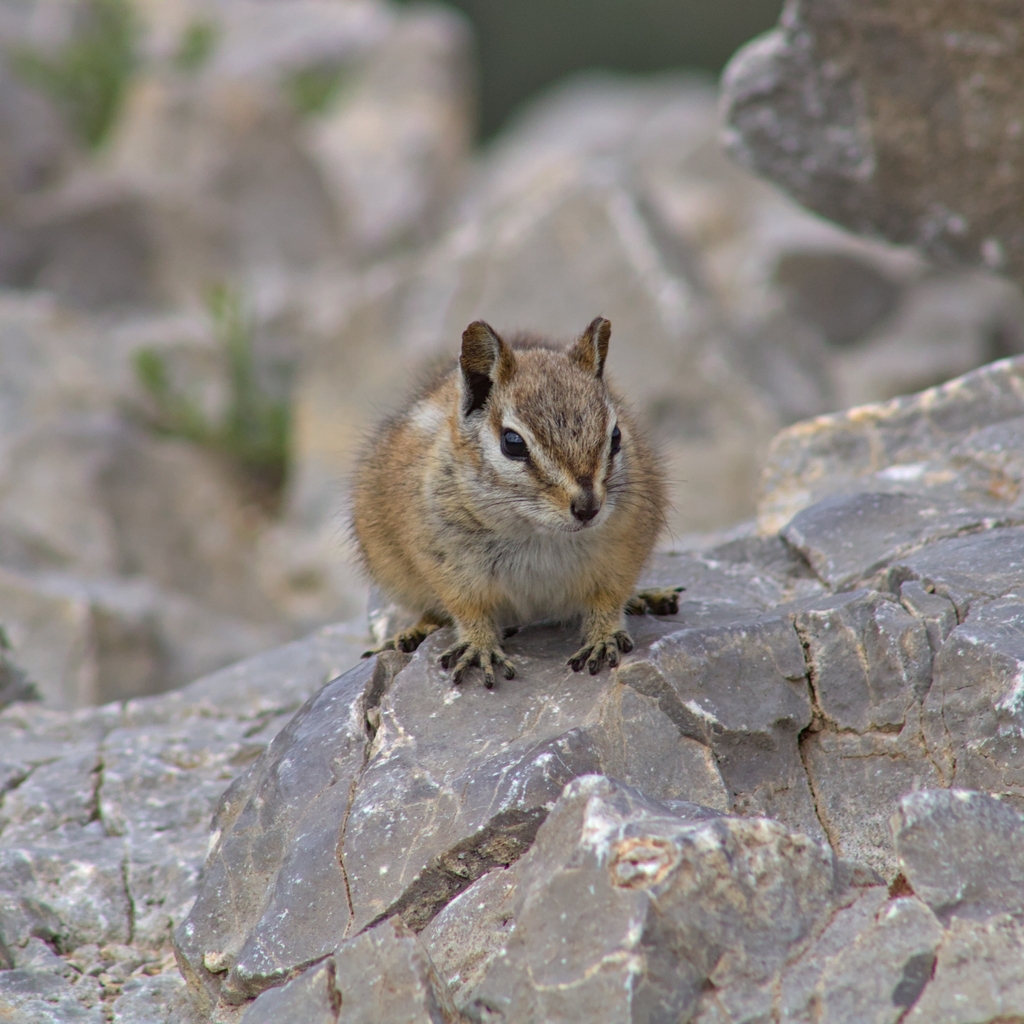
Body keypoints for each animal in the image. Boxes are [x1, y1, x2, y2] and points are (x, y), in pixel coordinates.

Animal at [352, 316, 677, 689]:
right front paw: (479, 646)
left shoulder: (623, 551)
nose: (588, 507)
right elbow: (468, 610)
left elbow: (608, 600)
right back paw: (411, 633)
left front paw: (603, 636)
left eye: (617, 436)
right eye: (512, 443)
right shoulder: (448, 563)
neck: (538, 533)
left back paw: (648, 597)